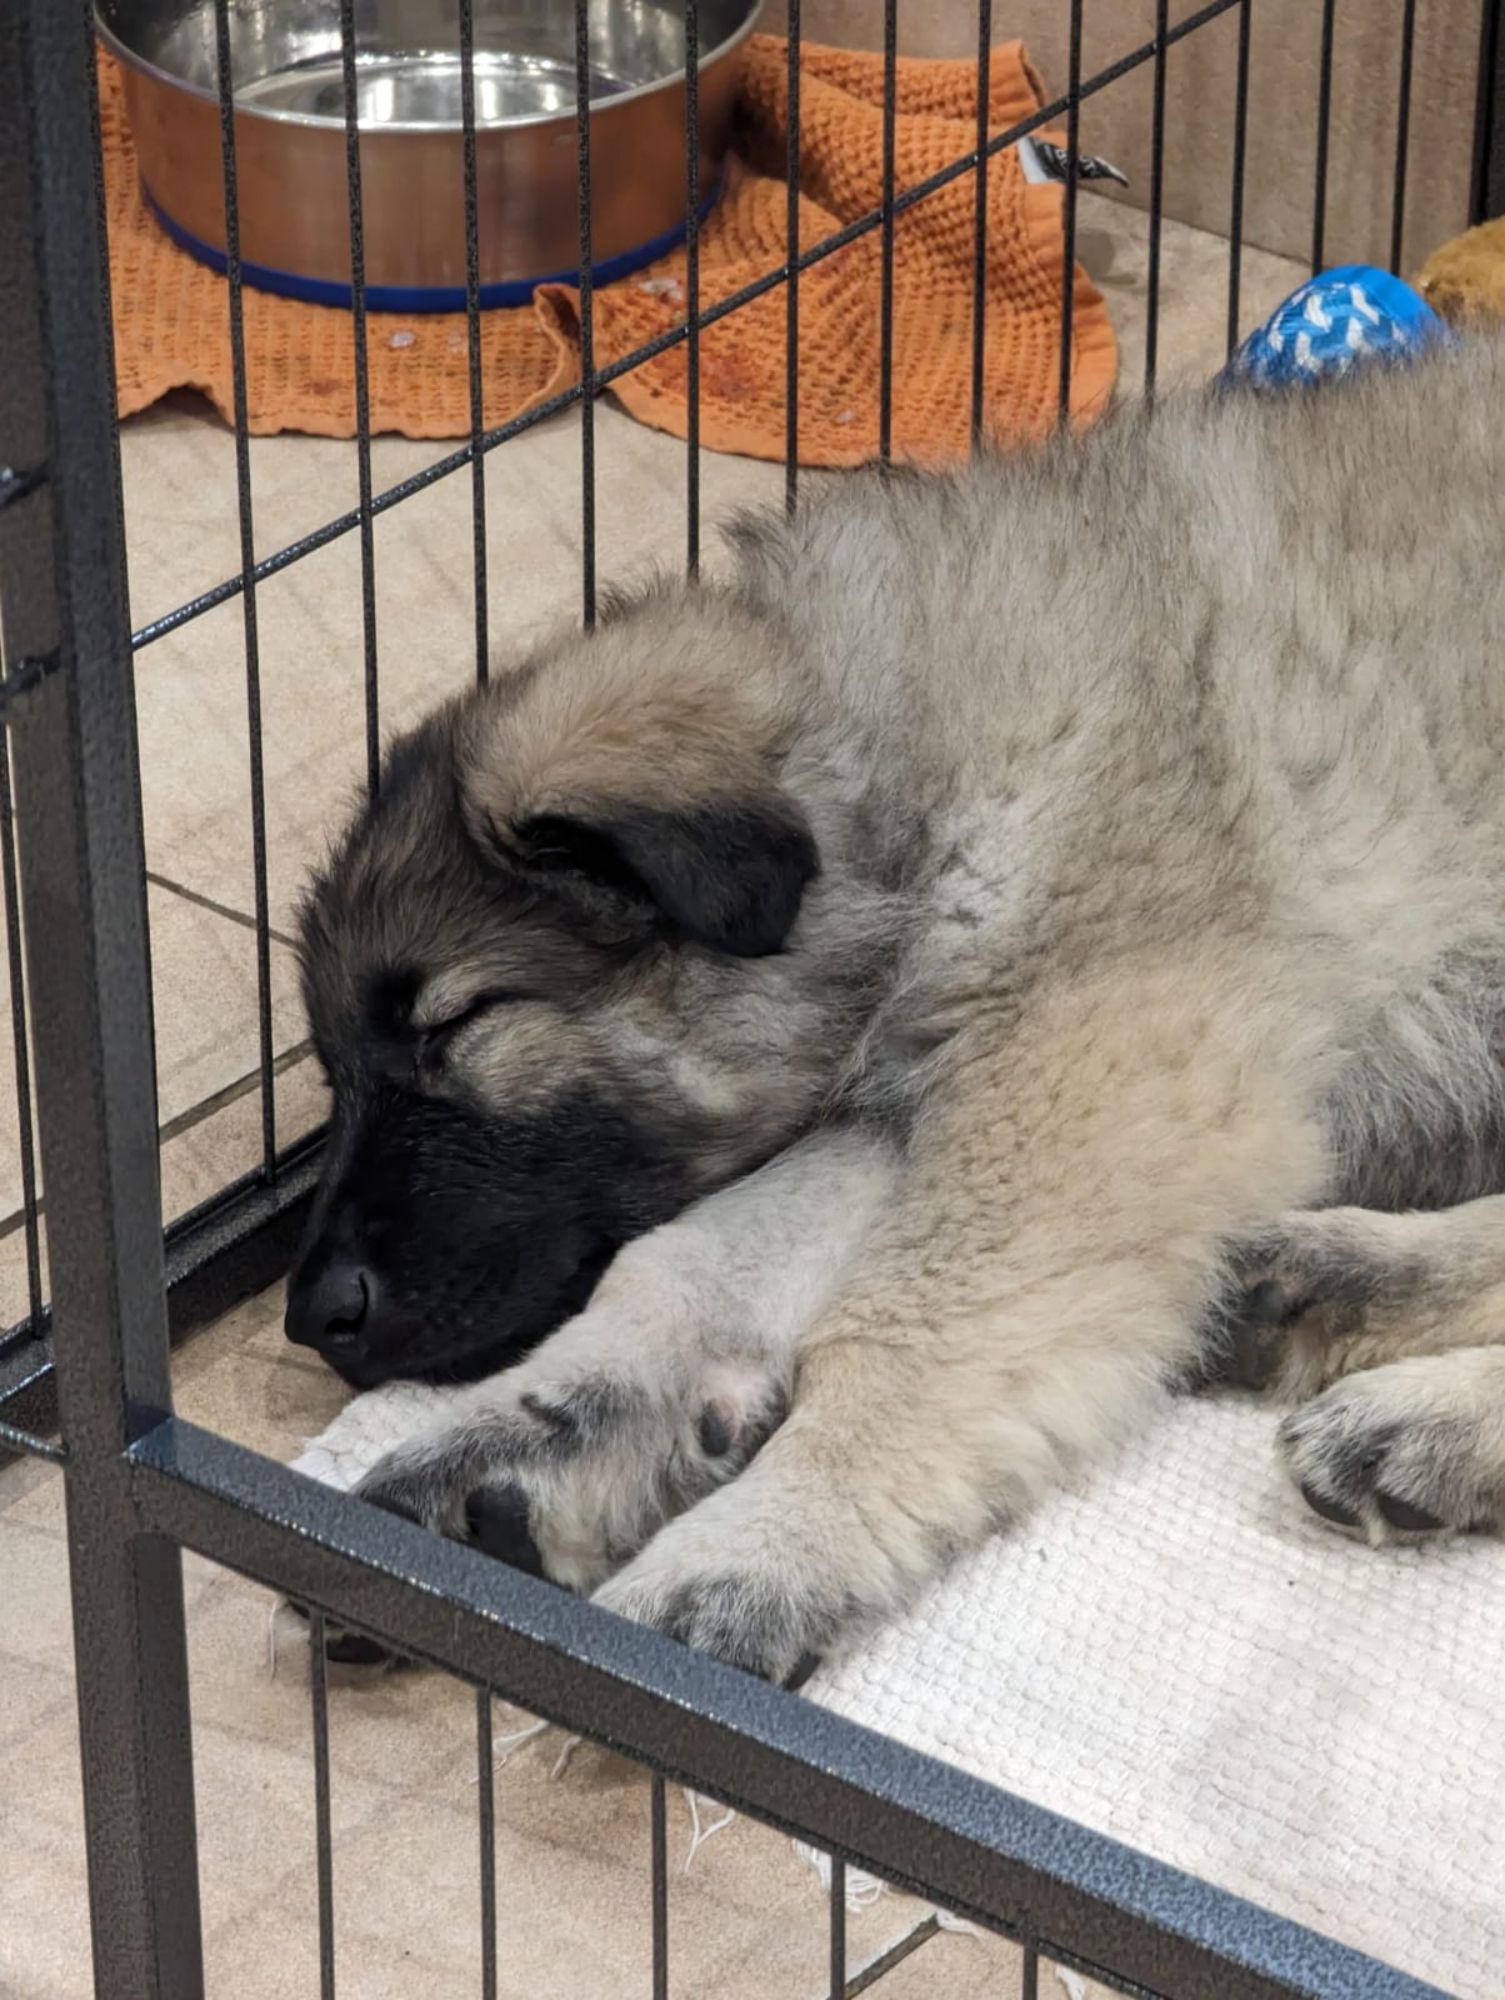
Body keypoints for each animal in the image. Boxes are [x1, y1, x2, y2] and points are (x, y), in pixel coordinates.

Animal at [287, 334, 1505, 1683]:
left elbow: (905, 1328)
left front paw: (763, 1541)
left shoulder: (1090, 1075)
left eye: (453, 1027)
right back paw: (1328, 1285)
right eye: (338, 1072)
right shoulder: (916, 1088)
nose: (311, 1315)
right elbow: (689, 1258)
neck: (896, 767)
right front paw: (528, 1435)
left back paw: (1417, 1406)